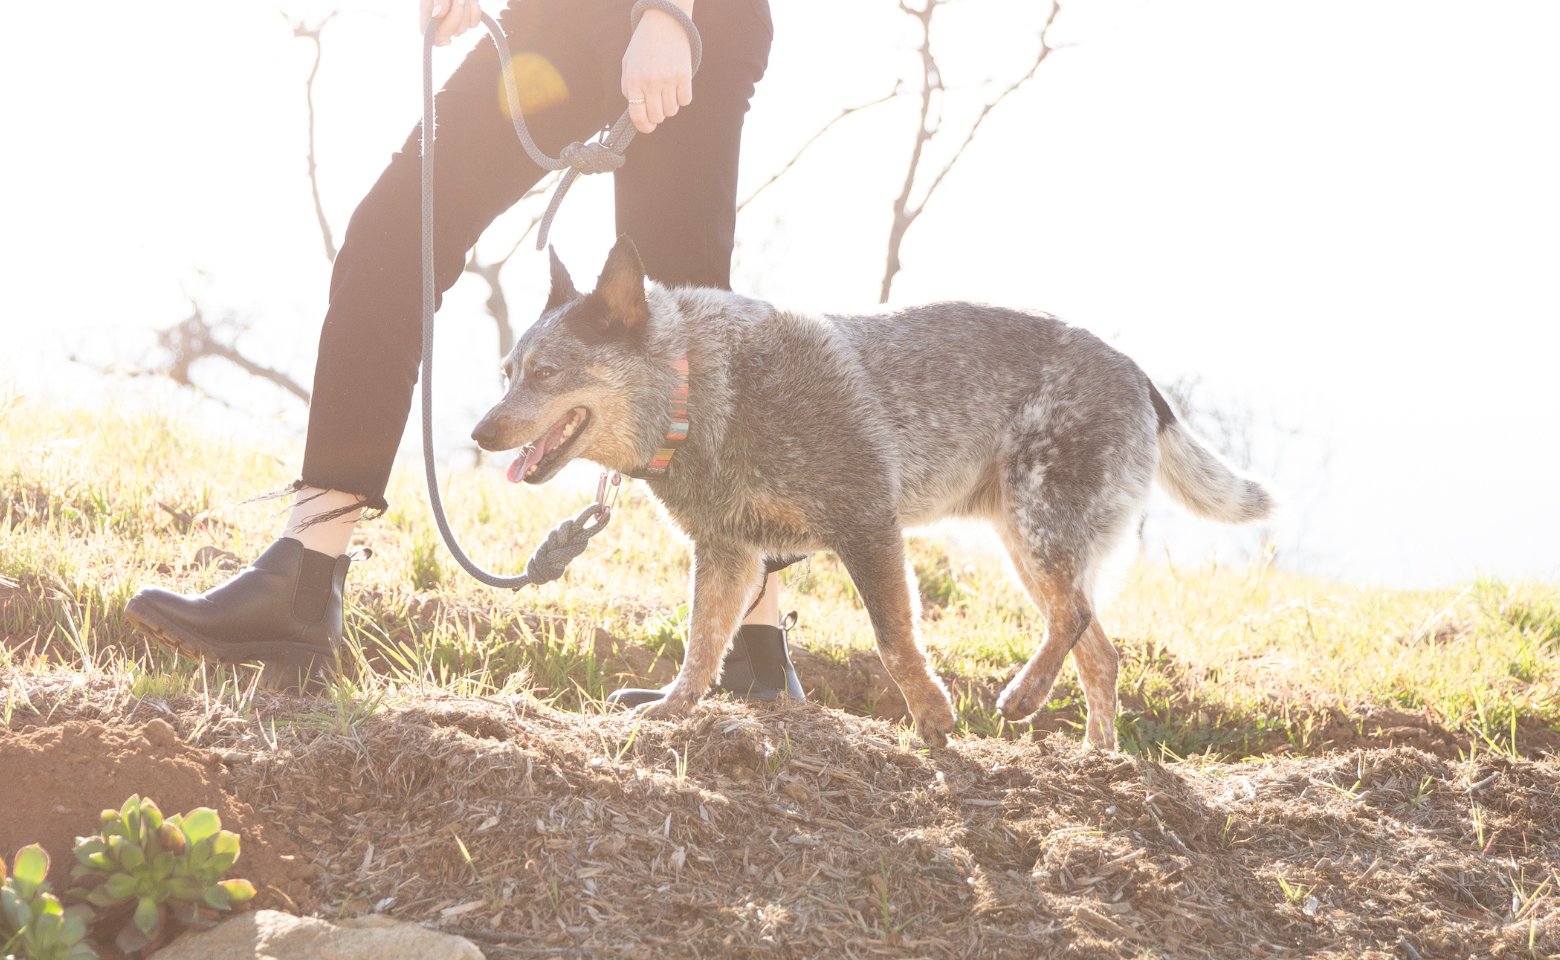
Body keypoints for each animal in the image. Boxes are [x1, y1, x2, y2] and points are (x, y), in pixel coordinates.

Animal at [467, 237, 1272, 746]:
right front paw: (672, 709)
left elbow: (894, 638)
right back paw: (1096, 759)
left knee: (1074, 620)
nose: (478, 431)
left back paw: (1024, 696)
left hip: (1040, 525)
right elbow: (701, 644)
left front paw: (933, 718)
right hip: (1028, 539)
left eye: (546, 371)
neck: (703, 392)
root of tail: (1136, 370)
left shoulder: (866, 522)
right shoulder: (728, 552)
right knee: (1099, 650)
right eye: (506, 370)